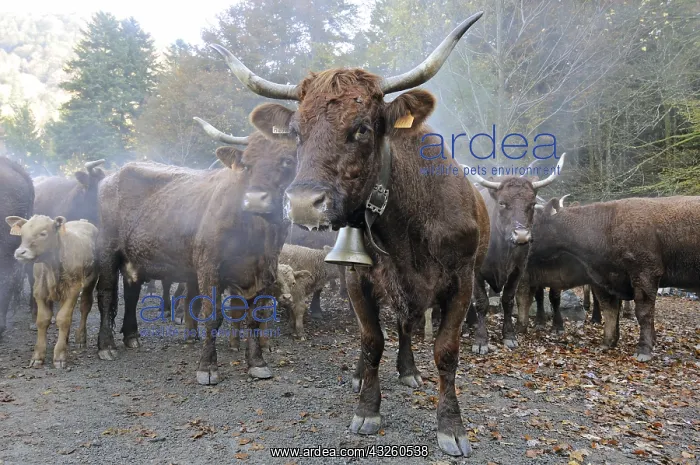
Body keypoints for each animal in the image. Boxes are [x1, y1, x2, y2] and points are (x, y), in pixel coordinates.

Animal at [5, 215, 98, 368]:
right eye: (22, 234)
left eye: (43, 233)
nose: (20, 252)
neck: (52, 266)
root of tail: (83, 221)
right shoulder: (39, 291)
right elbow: (43, 320)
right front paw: (38, 356)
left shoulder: (73, 290)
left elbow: (63, 319)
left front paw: (59, 355)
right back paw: (66, 339)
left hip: (91, 279)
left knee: (85, 306)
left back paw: (80, 337)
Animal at [94, 115, 297, 385]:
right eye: (246, 164)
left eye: (287, 161)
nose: (255, 200)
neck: (254, 232)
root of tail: (114, 175)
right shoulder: (208, 266)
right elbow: (212, 314)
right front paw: (207, 367)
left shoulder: (264, 270)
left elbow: (254, 316)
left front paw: (257, 362)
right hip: (108, 247)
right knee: (106, 293)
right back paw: (106, 346)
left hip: (133, 257)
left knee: (131, 293)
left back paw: (131, 336)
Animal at [208, 12, 490, 456]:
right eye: (297, 132)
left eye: (361, 129)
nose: (303, 203)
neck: (404, 229)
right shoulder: (359, 278)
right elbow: (371, 339)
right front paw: (367, 409)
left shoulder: (461, 281)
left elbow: (446, 351)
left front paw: (451, 426)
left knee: (407, 326)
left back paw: (408, 370)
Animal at [465, 155, 566, 353]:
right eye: (502, 203)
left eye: (532, 204)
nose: (521, 235)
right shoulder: (476, 271)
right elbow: (481, 302)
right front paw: (481, 340)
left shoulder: (518, 270)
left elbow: (508, 300)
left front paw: (509, 336)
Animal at [518, 196, 700, 361]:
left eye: (532, 225)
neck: (608, 226)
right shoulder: (610, 278)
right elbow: (611, 308)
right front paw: (609, 341)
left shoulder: (645, 273)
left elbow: (643, 313)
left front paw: (644, 349)